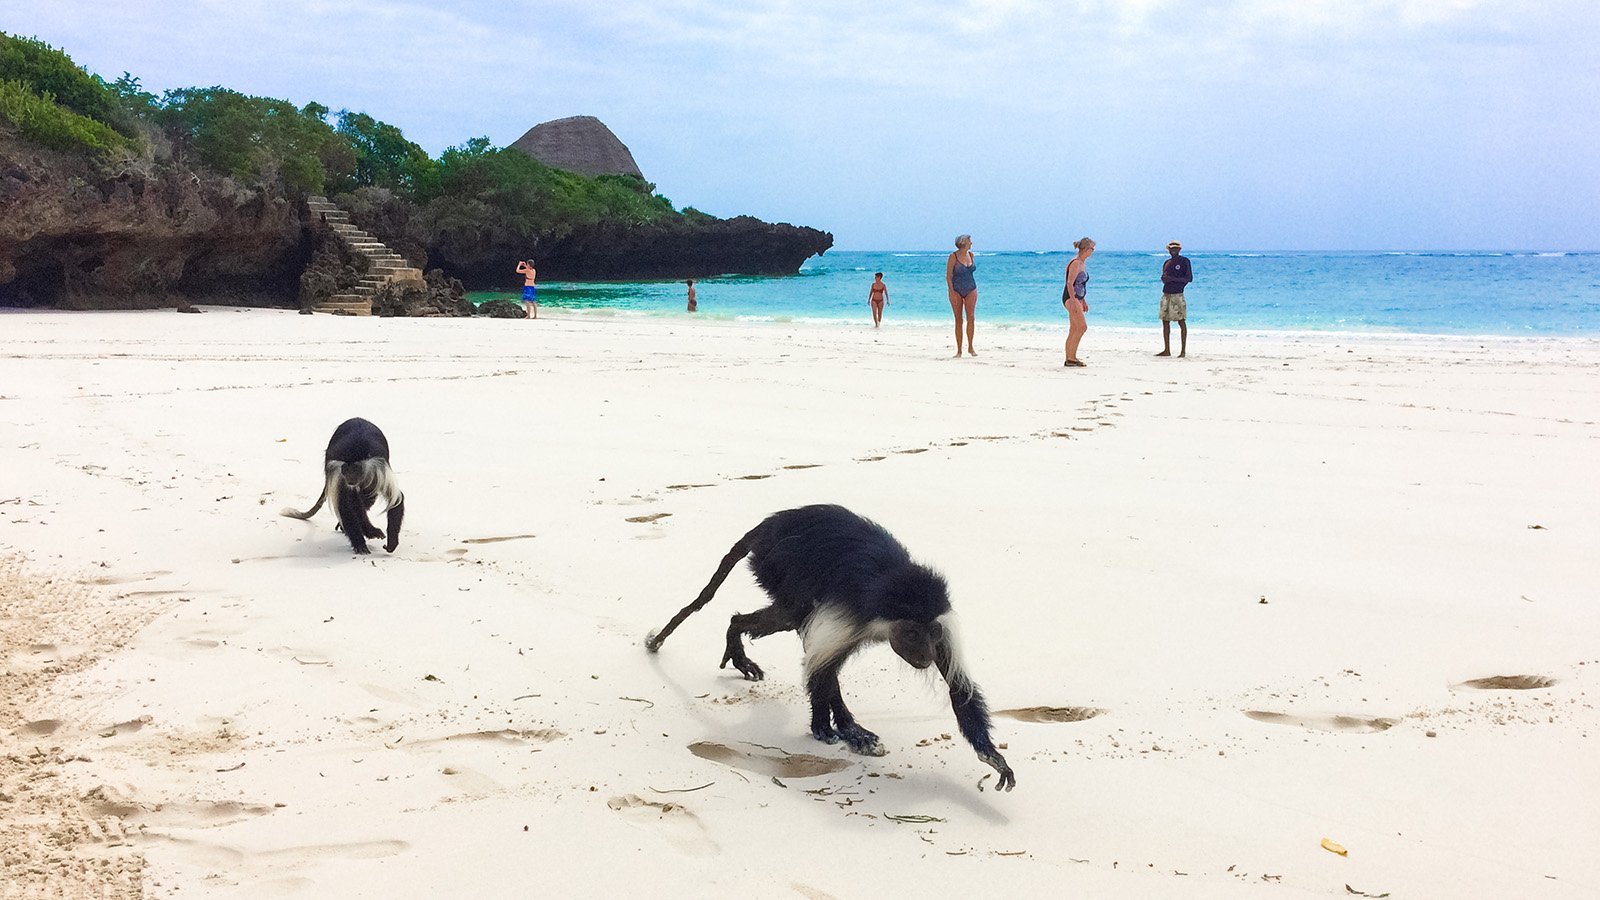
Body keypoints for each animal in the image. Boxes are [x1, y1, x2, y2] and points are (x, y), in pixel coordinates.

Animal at [276, 416, 400, 554]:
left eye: (355, 469)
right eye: (346, 469)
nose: (350, 478)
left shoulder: (378, 470)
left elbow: (395, 500)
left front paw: (391, 543)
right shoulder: (338, 473)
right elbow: (345, 505)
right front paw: (360, 543)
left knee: (367, 497)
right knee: (355, 500)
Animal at [646, 499, 1011, 787]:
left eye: (930, 634)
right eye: (912, 635)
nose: (924, 654)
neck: (886, 602)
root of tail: (775, 521)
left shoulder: (942, 626)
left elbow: (958, 687)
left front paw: (991, 756)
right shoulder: (851, 617)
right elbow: (820, 667)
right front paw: (826, 726)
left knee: (795, 621)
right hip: (775, 562)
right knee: (794, 615)